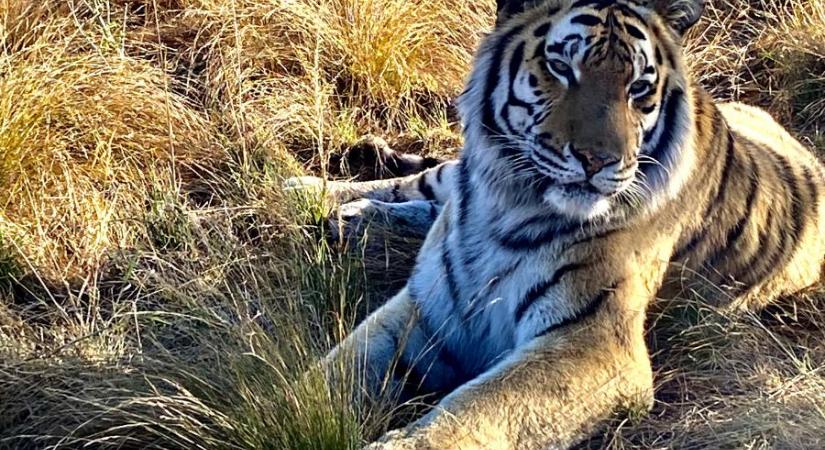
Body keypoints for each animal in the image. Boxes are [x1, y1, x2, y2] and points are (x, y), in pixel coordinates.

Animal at [284, 0, 824, 448]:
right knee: (421, 184)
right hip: (448, 179)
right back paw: (313, 196)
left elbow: (478, 410)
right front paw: (292, 405)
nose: (598, 160)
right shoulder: (429, 304)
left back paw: (353, 220)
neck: (505, 204)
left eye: (639, 88)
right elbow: (334, 373)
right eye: (561, 67)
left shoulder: (595, 343)